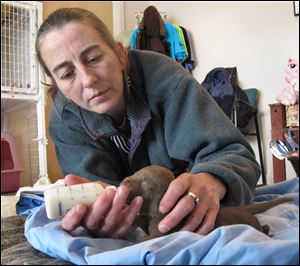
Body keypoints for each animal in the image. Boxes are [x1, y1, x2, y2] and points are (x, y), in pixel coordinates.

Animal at [120, 165, 292, 242]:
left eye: (146, 182)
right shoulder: (147, 218)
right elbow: (141, 220)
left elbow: (145, 239)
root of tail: (244, 209)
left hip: (252, 223)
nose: (123, 182)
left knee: (264, 227)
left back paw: (267, 233)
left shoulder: (163, 229)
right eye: (136, 172)